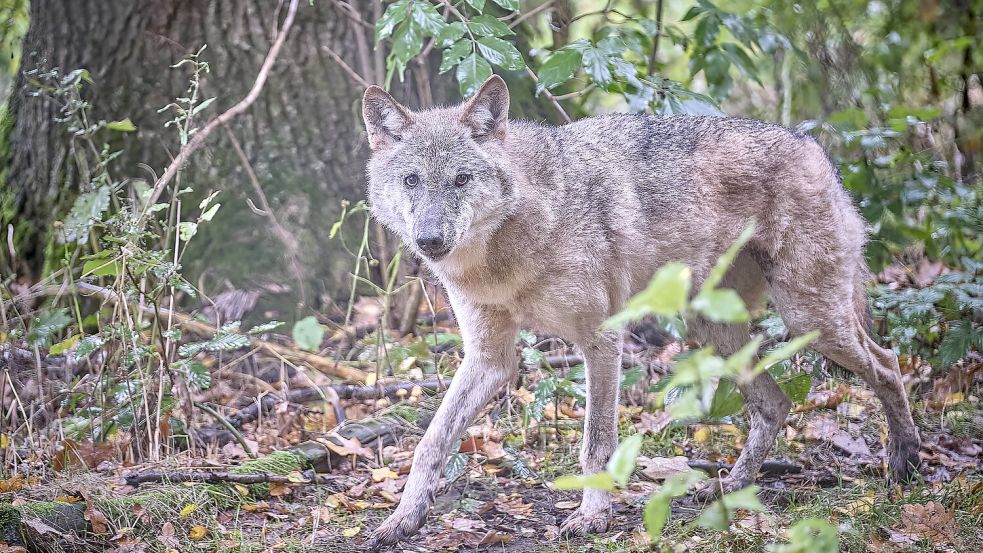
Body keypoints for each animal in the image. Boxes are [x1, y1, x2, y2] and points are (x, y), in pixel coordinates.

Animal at [360, 75, 920, 548]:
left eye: (461, 179)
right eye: (412, 180)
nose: (430, 240)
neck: (505, 256)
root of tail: (815, 148)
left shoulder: (601, 342)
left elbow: (596, 443)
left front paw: (592, 517)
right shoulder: (490, 359)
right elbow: (431, 442)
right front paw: (402, 520)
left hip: (811, 321)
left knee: (888, 364)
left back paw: (904, 466)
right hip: (713, 327)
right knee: (776, 403)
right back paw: (731, 487)